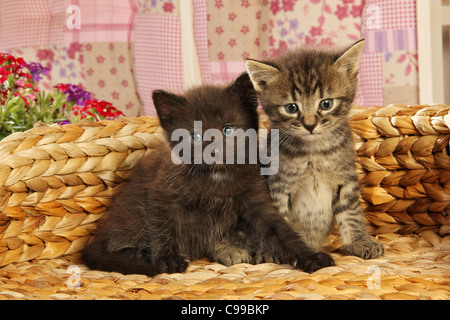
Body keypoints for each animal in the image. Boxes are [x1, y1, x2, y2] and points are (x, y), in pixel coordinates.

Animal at [81, 72, 334, 276]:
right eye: (194, 136)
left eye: (228, 130)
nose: (214, 151)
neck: (216, 178)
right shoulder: (160, 193)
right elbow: (163, 227)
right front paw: (168, 259)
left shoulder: (256, 200)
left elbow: (282, 232)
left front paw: (310, 257)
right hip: (131, 211)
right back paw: (139, 257)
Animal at [244, 40, 384, 260]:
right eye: (291, 108)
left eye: (326, 103)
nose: (310, 125)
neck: (314, 152)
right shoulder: (278, 186)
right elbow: (277, 221)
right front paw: (272, 251)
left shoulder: (346, 178)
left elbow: (351, 212)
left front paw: (359, 242)